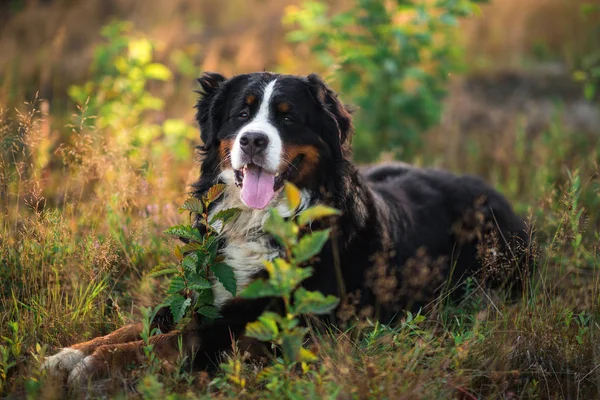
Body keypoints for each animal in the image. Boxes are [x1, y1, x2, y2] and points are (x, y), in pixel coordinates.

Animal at [43, 71, 528, 384]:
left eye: (288, 116)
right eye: (241, 114)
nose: (253, 140)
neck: (261, 223)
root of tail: (496, 195)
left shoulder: (272, 329)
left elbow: (177, 339)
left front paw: (98, 364)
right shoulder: (202, 293)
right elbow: (142, 323)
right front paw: (68, 355)